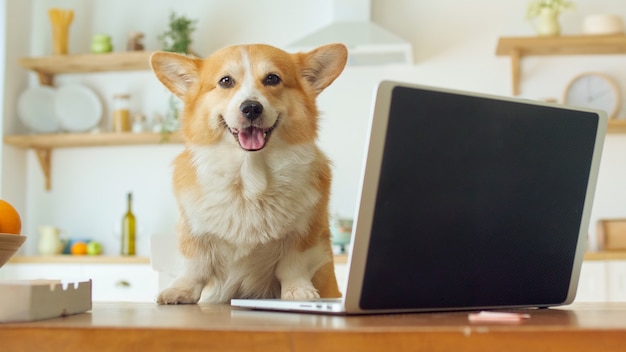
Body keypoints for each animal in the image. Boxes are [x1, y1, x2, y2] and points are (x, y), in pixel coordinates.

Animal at [149, 42, 348, 304]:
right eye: (225, 81)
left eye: (272, 78)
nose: (251, 108)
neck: (249, 177)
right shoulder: (194, 230)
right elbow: (195, 265)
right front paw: (181, 290)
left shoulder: (304, 232)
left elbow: (293, 266)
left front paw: (298, 291)